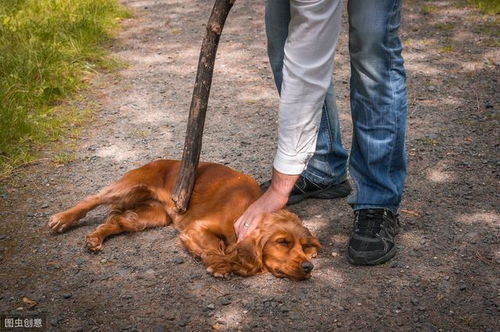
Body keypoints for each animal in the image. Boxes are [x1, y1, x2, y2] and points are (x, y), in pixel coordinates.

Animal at [47, 161, 320, 280]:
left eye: (305, 247)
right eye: (282, 242)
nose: (309, 267)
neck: (248, 208)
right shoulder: (197, 228)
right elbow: (216, 248)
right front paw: (222, 265)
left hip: (152, 216)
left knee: (119, 221)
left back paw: (95, 238)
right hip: (129, 185)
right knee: (92, 199)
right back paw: (62, 219)